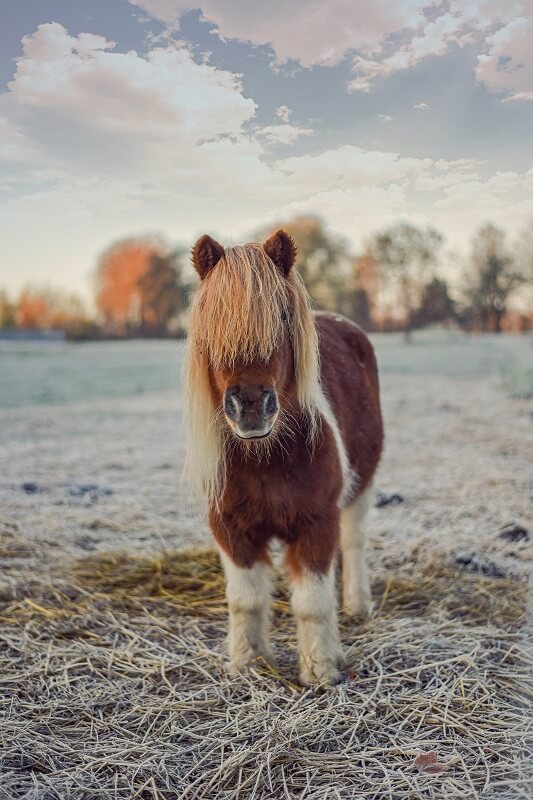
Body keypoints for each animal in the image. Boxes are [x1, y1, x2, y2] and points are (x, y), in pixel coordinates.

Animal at [184, 231, 382, 688]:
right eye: (212, 326)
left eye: (284, 317)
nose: (250, 406)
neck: (265, 459)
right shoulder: (232, 531)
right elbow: (246, 600)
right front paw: (247, 662)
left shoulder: (315, 524)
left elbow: (312, 602)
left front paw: (321, 669)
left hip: (362, 486)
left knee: (354, 541)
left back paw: (357, 605)